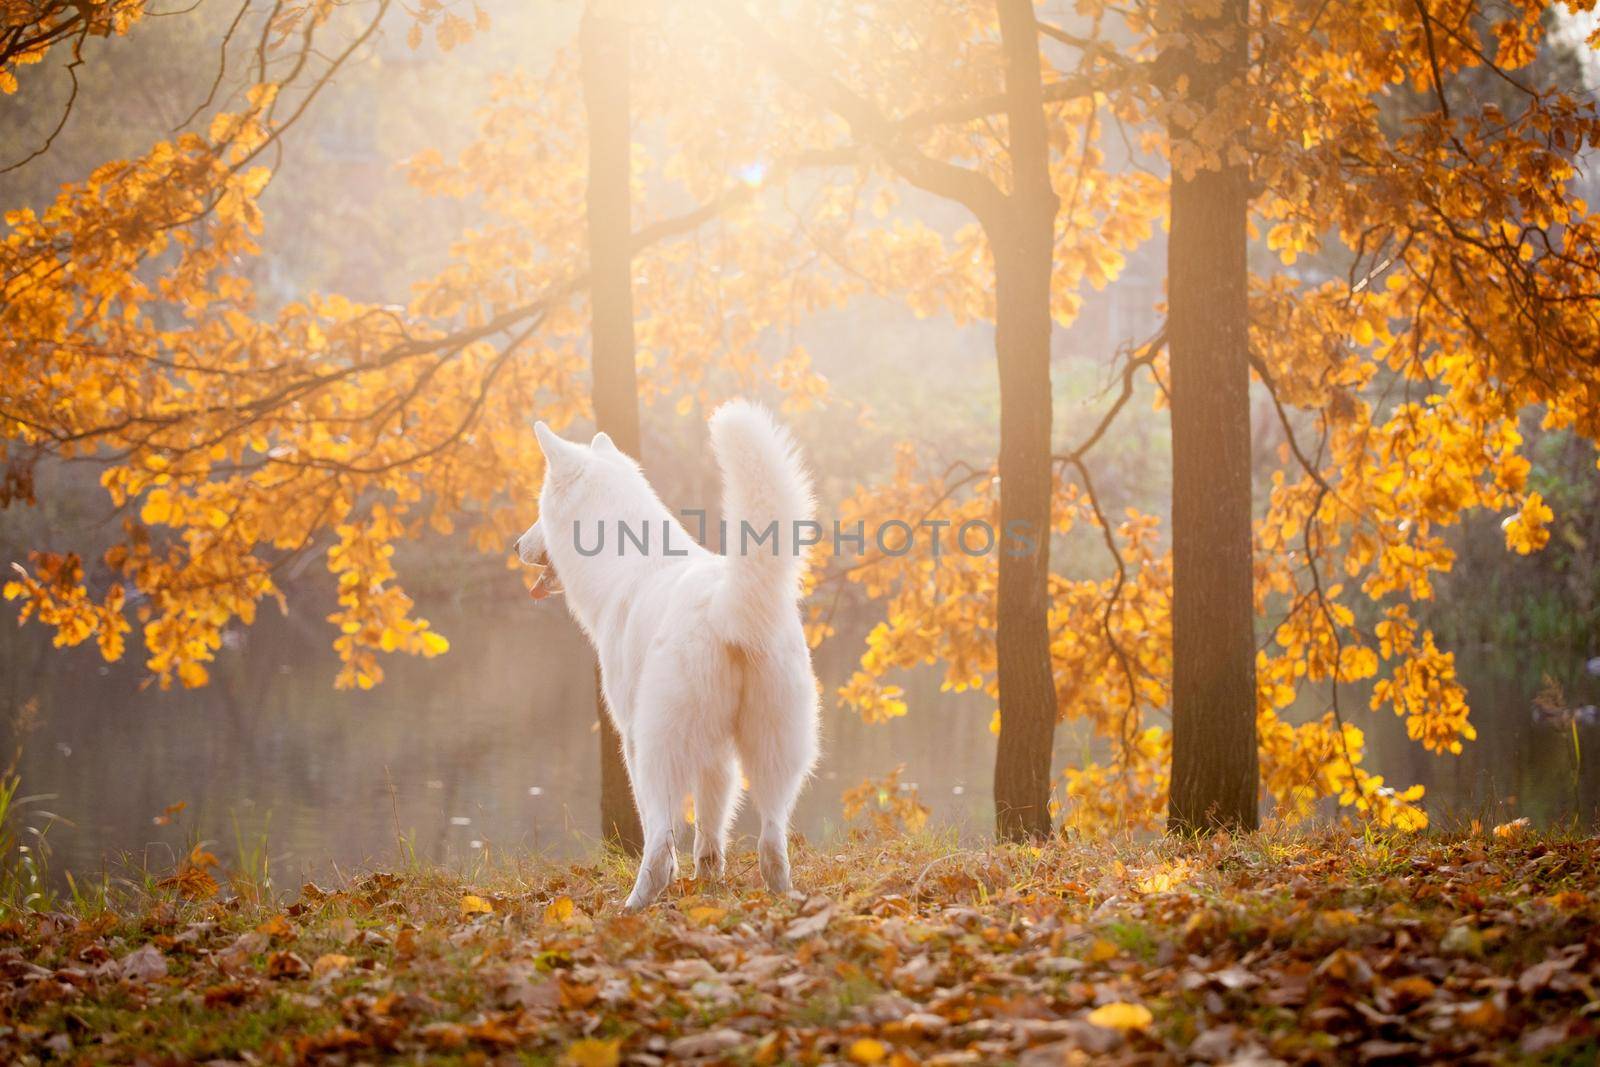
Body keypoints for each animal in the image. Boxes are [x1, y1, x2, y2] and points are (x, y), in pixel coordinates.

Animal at [518, 399, 819, 908]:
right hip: (776, 754)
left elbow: (665, 833)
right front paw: (709, 882)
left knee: (658, 845)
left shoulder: (632, 740)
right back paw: (780, 896)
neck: (628, 564)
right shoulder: (717, 756)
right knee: (772, 845)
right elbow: (711, 833)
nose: (517, 545)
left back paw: (632, 906)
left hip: (660, 751)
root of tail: (725, 605)